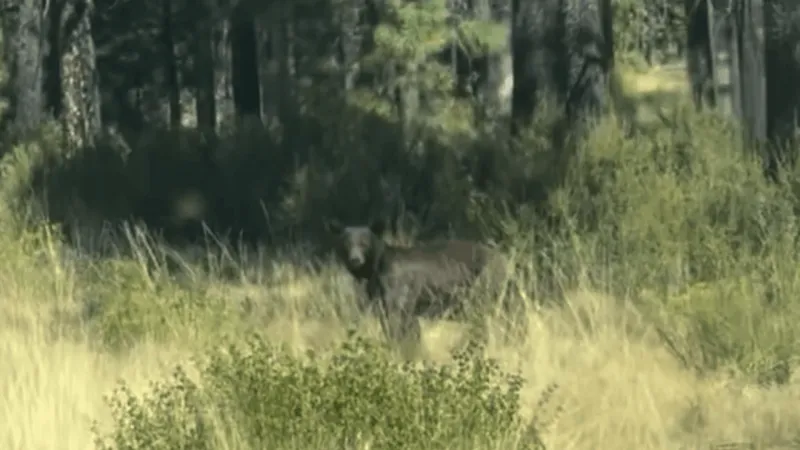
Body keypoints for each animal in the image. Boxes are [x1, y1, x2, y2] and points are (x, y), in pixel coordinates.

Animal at [324, 218, 510, 348]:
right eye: (346, 243)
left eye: (364, 243)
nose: (355, 260)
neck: (375, 270)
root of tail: (502, 258)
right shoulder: (379, 297)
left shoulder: (398, 287)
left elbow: (398, 322)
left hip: (484, 284)